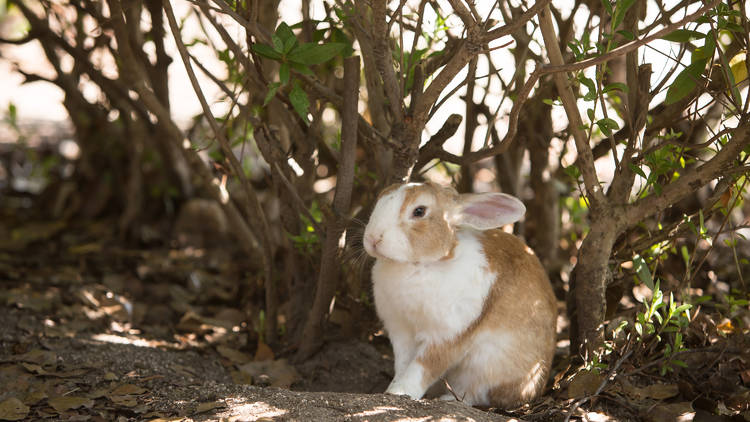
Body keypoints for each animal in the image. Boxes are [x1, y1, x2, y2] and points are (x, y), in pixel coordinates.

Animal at [364, 181, 560, 408]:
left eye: (419, 211)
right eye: (381, 196)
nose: (372, 238)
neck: (421, 265)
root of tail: (535, 389)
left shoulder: (448, 335)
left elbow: (424, 367)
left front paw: (398, 392)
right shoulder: (400, 331)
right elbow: (404, 363)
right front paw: (393, 388)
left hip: (488, 366)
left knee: (478, 393)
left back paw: (449, 398)